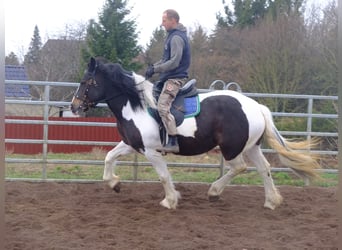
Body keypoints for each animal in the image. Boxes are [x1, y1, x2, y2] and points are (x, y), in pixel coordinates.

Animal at [71, 57, 320, 210]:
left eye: (86, 82)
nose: (74, 106)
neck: (136, 106)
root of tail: (257, 107)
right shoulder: (132, 144)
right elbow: (108, 158)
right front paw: (115, 184)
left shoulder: (152, 151)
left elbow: (163, 176)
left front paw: (170, 201)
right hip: (251, 147)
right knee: (264, 168)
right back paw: (271, 201)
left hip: (232, 149)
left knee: (239, 167)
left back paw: (214, 191)